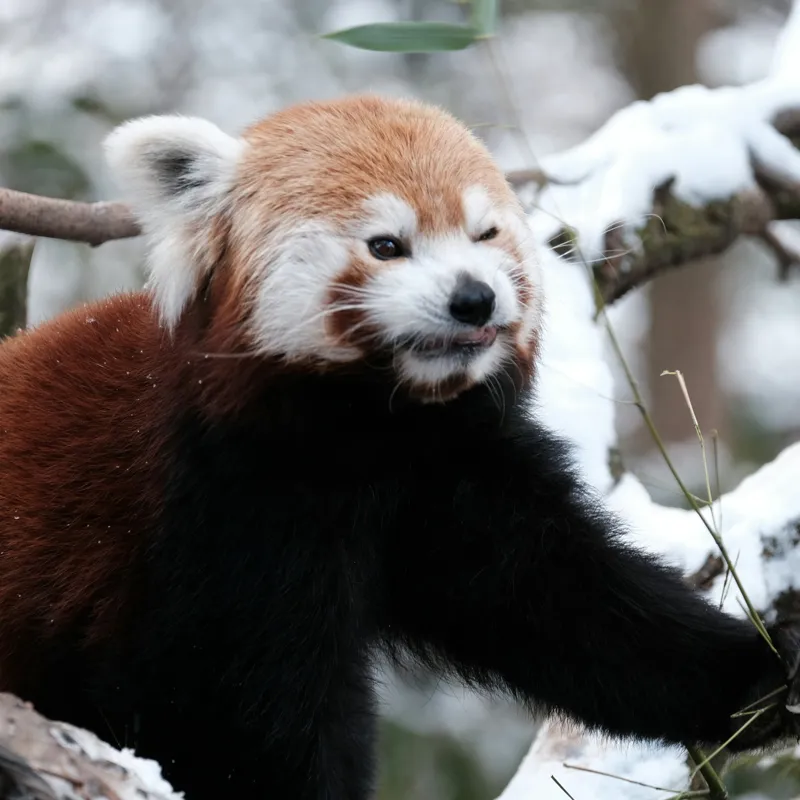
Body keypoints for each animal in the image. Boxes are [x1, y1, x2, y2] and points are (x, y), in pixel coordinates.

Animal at [0, 94, 797, 799]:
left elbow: (562, 599)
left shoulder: (450, 474)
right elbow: (248, 713)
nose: (474, 298)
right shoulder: (223, 504)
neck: (375, 431)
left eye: (485, 234)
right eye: (387, 245)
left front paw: (754, 678)